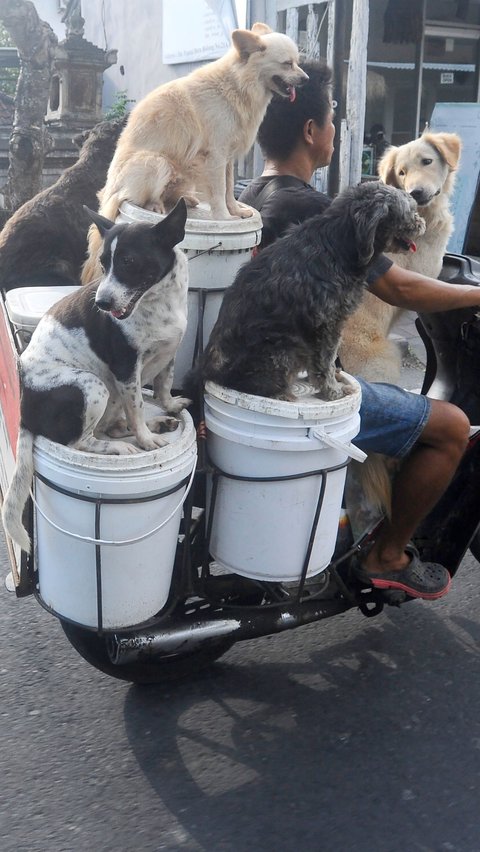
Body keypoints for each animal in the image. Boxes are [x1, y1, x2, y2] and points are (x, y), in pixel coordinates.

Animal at [1, 198, 190, 552]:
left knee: (111, 426)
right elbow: (138, 407)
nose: (102, 302)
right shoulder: (126, 368)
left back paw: (154, 424)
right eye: (103, 264)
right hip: (94, 386)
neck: (158, 303)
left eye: (129, 261)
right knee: (82, 440)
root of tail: (25, 414)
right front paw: (146, 440)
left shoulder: (169, 352)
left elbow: (163, 385)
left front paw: (169, 408)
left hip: (108, 392)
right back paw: (124, 446)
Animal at [81, 21, 308, 282]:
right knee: (134, 198)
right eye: (287, 64)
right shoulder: (216, 156)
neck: (237, 84)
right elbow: (219, 192)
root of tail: (110, 191)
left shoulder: (227, 158)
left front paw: (236, 210)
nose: (306, 79)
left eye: (297, 62)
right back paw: (155, 205)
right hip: (157, 163)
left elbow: (229, 189)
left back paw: (185, 199)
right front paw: (224, 217)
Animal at [201, 181, 426, 402]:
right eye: (410, 211)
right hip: (285, 347)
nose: (421, 223)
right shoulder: (327, 325)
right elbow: (326, 361)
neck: (339, 245)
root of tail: (209, 371)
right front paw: (332, 390)